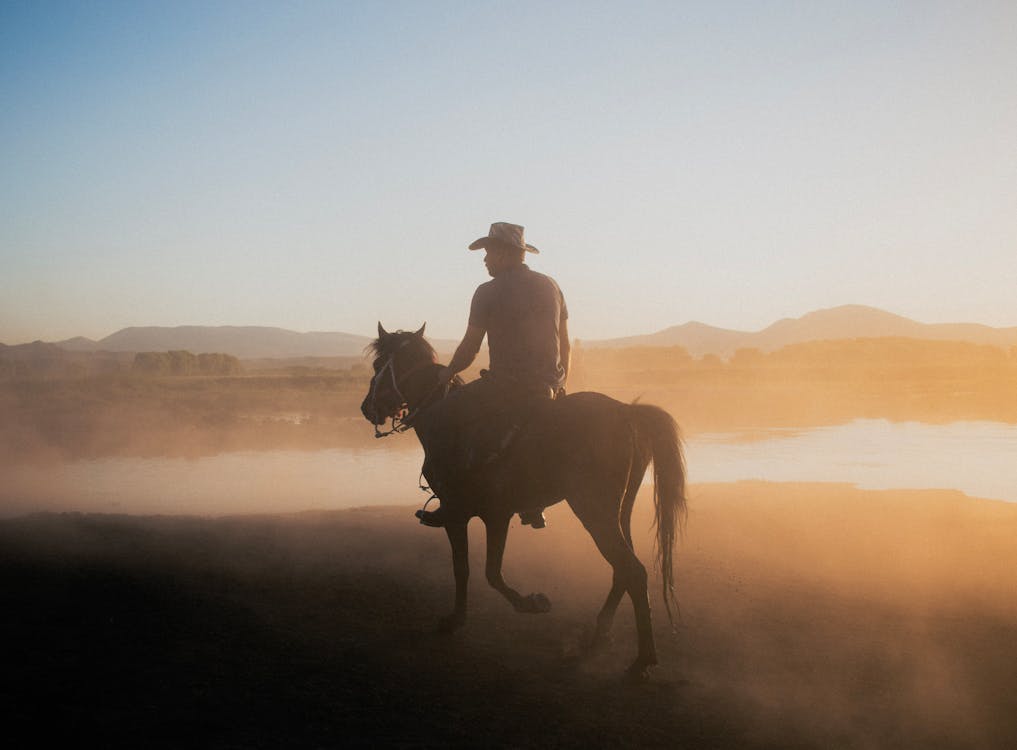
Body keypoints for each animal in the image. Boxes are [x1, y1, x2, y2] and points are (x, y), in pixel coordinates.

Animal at [362, 321, 687, 679]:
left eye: (378, 366)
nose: (367, 408)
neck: (441, 417)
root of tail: (627, 412)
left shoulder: (468, 514)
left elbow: (475, 570)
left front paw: (511, 607)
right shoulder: (494, 515)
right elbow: (478, 570)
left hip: (594, 511)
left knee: (633, 571)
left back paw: (643, 659)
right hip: (619, 509)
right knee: (623, 570)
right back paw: (601, 631)